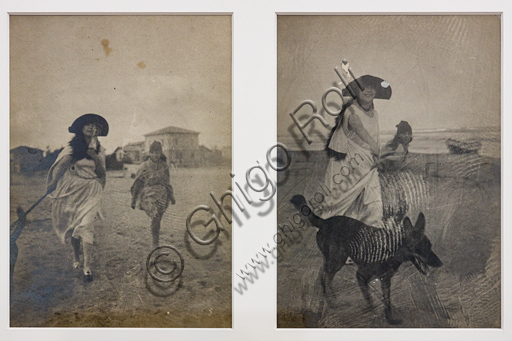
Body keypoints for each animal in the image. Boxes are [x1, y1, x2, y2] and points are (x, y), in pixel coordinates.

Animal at [290, 194, 442, 324]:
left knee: (323, 274)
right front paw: (374, 315)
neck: (391, 249)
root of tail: (325, 222)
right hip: (337, 261)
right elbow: (370, 300)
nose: (440, 263)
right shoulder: (361, 276)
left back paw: (329, 299)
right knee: (324, 276)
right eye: (421, 249)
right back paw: (330, 301)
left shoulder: (385, 280)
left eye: (430, 246)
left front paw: (390, 320)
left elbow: (387, 302)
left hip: (333, 260)